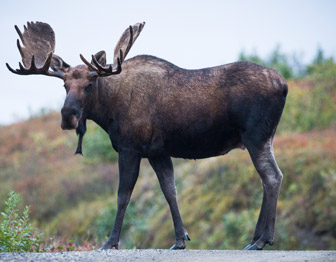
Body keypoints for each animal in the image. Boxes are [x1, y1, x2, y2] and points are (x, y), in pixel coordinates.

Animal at [6, 21, 288, 251]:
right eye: (64, 85)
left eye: (89, 83)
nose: (68, 117)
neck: (109, 111)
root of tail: (284, 84)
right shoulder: (157, 152)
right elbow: (170, 190)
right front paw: (180, 239)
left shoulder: (130, 148)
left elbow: (123, 195)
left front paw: (110, 242)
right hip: (266, 138)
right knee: (267, 178)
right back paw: (255, 238)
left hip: (256, 136)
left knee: (272, 177)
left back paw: (263, 240)